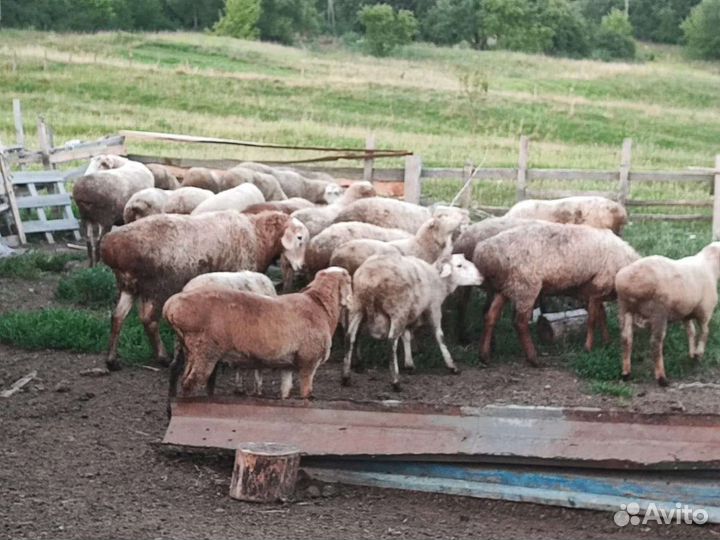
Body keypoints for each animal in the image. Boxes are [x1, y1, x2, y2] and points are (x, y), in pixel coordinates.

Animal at [100, 210, 309, 370]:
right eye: (299, 238)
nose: (301, 267)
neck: (258, 236)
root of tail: (110, 247)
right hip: (154, 287)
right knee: (148, 320)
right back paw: (163, 357)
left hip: (129, 286)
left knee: (118, 317)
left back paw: (112, 361)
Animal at [164, 267, 352, 399]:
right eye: (350, 281)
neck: (319, 307)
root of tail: (171, 305)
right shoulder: (308, 362)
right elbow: (307, 394)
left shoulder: (288, 366)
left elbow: (286, 392)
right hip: (205, 350)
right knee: (190, 383)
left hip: (190, 349)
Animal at [343, 254, 482, 390]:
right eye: (459, 265)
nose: (481, 277)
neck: (439, 281)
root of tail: (370, 277)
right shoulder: (434, 308)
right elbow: (439, 336)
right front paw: (452, 366)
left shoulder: (409, 314)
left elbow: (406, 336)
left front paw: (409, 364)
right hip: (398, 309)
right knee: (391, 341)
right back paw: (396, 381)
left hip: (357, 306)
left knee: (350, 336)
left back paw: (346, 377)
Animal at [473, 222, 639, 367]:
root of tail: (483, 253)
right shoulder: (598, 287)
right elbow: (593, 319)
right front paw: (588, 347)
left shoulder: (596, 293)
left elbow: (601, 316)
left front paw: (606, 342)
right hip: (526, 285)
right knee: (519, 322)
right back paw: (533, 359)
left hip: (507, 287)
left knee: (490, 316)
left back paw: (484, 356)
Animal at [615, 242, 720, 386]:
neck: (710, 265)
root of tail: (631, 281)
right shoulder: (705, 310)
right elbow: (704, 332)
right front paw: (698, 353)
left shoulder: (686, 313)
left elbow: (691, 331)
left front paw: (692, 354)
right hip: (658, 312)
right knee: (655, 343)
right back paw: (661, 378)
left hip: (625, 309)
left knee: (626, 339)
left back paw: (626, 373)